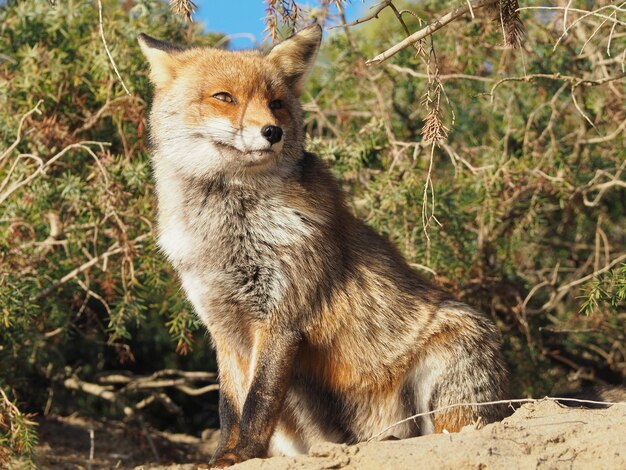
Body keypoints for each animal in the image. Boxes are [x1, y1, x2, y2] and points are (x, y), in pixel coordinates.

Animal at [136, 24, 508, 466]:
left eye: (277, 104)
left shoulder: (282, 318)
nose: (272, 132)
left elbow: (258, 402)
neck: (228, 235)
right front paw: (223, 456)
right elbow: (230, 407)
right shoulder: (223, 326)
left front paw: (243, 454)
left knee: (446, 431)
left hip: (454, 352)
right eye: (224, 97)